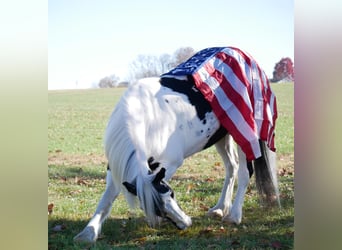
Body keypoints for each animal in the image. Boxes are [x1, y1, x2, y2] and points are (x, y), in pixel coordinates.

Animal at [73, 47, 280, 244]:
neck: (145, 119)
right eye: (158, 207)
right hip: (223, 135)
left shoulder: (169, 163)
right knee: (232, 167)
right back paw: (220, 208)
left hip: (246, 133)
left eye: (172, 194)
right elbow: (107, 199)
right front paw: (88, 233)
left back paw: (234, 215)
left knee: (245, 172)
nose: (185, 223)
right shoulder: (116, 167)